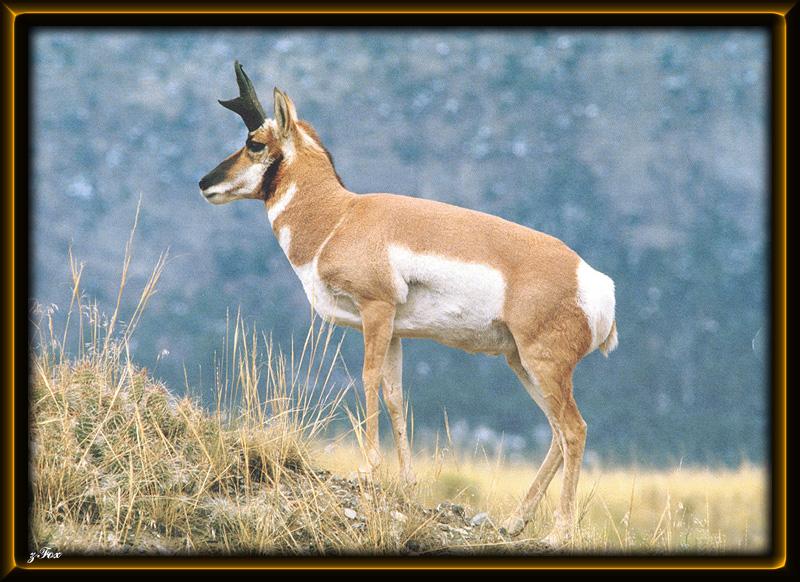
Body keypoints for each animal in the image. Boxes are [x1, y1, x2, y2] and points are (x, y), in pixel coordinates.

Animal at [200, 61, 620, 544]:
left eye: (254, 143)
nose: (204, 183)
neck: (338, 218)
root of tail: (595, 281)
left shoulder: (375, 311)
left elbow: (366, 381)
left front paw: (367, 469)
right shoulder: (396, 332)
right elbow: (395, 396)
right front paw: (406, 480)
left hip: (544, 364)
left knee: (574, 430)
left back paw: (559, 532)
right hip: (521, 362)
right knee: (556, 433)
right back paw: (515, 521)